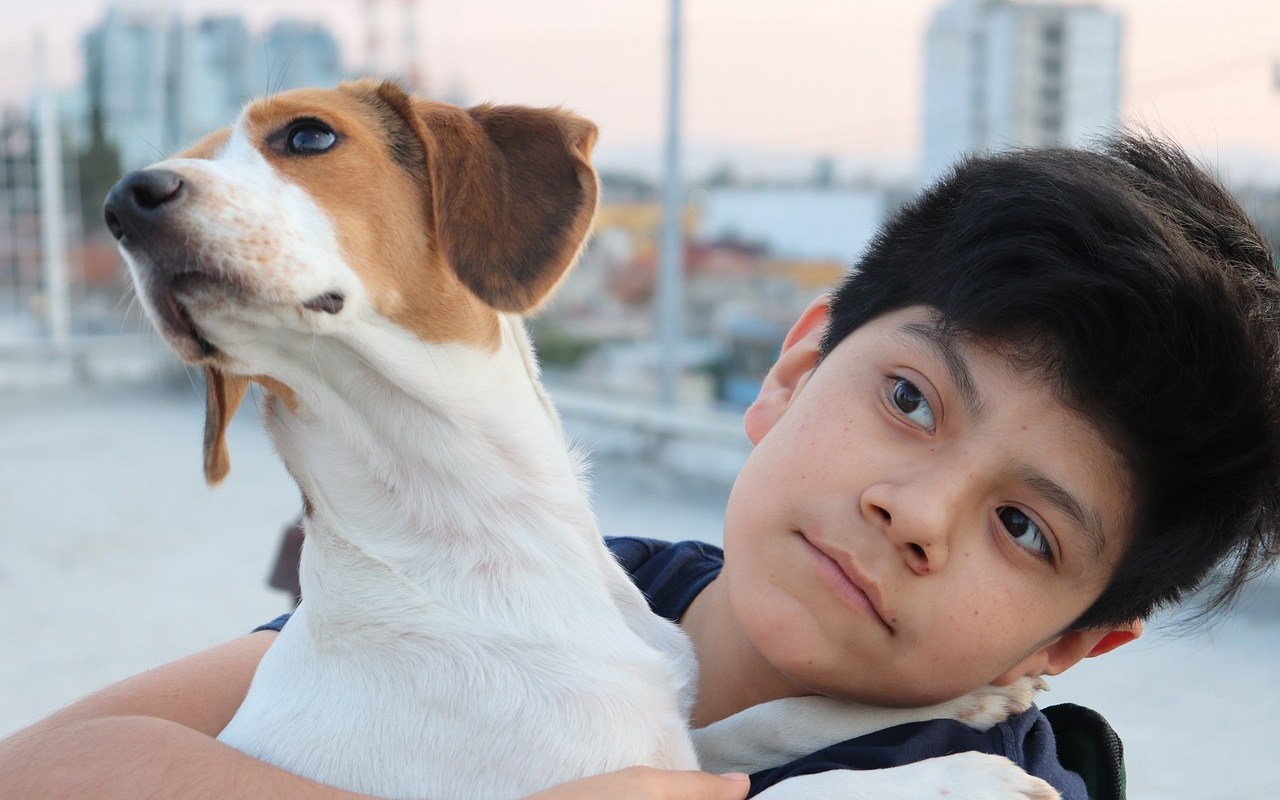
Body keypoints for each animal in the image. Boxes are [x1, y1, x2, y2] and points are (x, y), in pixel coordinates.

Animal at [102, 76, 1059, 798]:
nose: (123, 200)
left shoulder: (679, 736)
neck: (485, 543)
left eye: (307, 135)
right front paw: (958, 777)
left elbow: (773, 719)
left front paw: (970, 700)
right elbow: (797, 789)